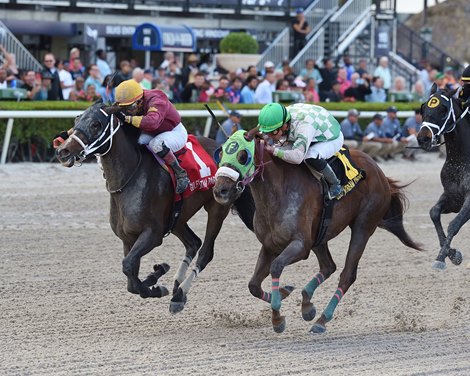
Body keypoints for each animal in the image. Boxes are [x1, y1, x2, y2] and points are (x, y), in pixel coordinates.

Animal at [56, 101, 255, 312]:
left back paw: (180, 295)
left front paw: (156, 285)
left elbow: (128, 266)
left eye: (96, 124)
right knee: (193, 242)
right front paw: (156, 276)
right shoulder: (128, 239)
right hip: (177, 218)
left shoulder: (152, 234)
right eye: (77, 119)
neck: (130, 179)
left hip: (217, 206)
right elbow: (130, 279)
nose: (63, 151)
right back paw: (176, 285)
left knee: (205, 252)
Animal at [213, 130, 422, 334]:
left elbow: (276, 267)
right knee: (328, 266)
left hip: (363, 226)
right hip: (321, 236)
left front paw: (277, 318)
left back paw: (322, 320)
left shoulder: (300, 246)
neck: (279, 192)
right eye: (221, 153)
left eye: (242, 156)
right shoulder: (269, 246)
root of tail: (380, 173)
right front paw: (283, 293)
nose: (220, 190)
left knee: (347, 274)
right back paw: (307, 305)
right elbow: (253, 285)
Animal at [416, 83, 468, 268]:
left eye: (443, 110)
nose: (423, 139)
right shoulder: (453, 198)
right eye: (423, 108)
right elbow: (434, 212)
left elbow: (454, 224)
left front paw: (440, 259)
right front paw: (452, 254)